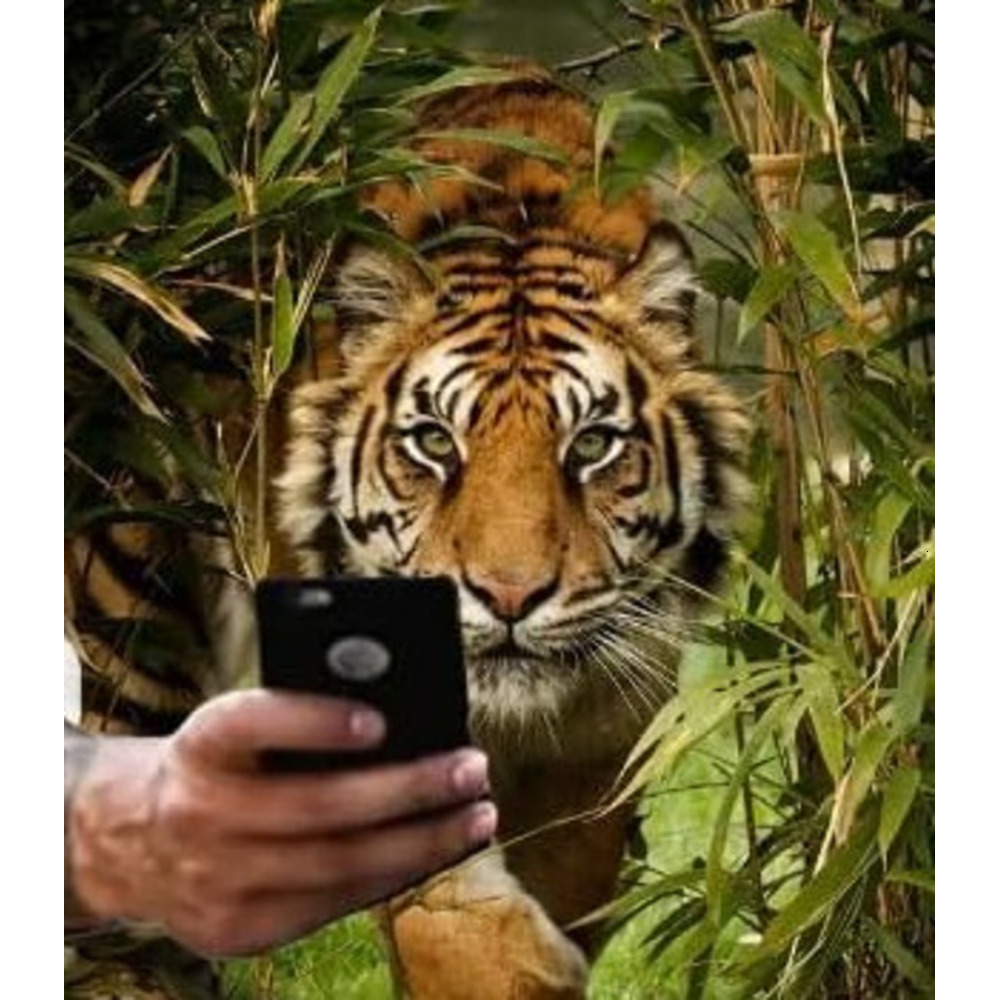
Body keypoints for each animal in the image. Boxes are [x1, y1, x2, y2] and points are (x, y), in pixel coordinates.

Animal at [65, 70, 749, 999]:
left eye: (591, 446)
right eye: (433, 442)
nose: (507, 596)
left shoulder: (601, 738)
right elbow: (446, 911)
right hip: (128, 599)